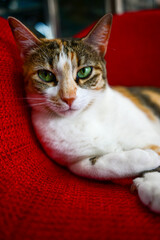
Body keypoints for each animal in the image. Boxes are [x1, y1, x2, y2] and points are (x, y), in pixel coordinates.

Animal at [8, 14, 160, 213]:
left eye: (85, 72)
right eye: (45, 75)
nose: (69, 98)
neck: (83, 117)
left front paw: (153, 185)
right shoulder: (72, 160)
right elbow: (93, 166)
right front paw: (146, 159)